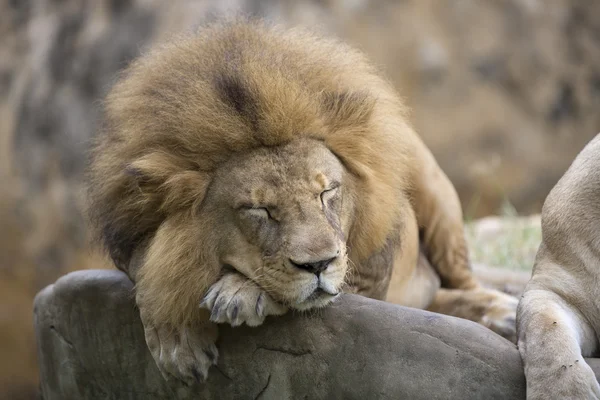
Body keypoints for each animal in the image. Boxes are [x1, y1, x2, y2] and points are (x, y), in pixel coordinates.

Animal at [86, 19, 516, 384]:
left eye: (326, 192)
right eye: (259, 210)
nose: (319, 265)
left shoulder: (365, 273)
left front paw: (240, 294)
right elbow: (148, 273)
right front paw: (177, 336)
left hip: (435, 192)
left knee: (463, 282)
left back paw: (503, 313)